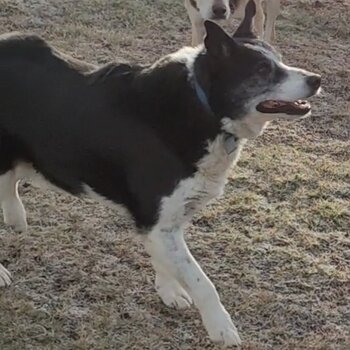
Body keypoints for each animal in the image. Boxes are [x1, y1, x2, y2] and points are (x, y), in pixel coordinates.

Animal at [0, 1, 322, 346]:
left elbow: (165, 260)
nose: (316, 80)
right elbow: (202, 281)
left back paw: (15, 217)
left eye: (280, 58)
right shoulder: (158, 219)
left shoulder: (165, 220)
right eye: (262, 69)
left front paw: (168, 290)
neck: (204, 107)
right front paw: (221, 328)